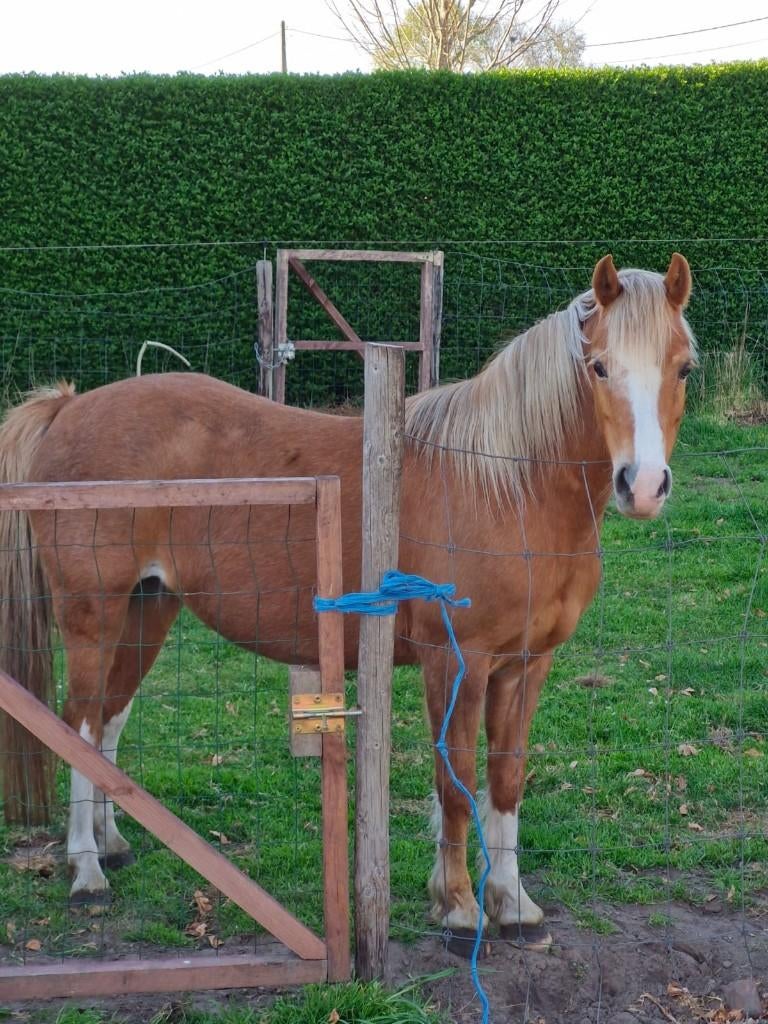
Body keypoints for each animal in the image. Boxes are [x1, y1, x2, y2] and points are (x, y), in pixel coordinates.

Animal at [0, 253, 695, 943]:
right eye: (599, 366)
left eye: (684, 366)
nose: (643, 486)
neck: (506, 486)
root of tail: (68, 409)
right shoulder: (457, 663)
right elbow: (456, 781)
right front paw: (458, 906)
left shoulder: (526, 666)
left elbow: (505, 780)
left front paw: (512, 904)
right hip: (92, 616)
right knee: (79, 721)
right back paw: (87, 871)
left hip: (148, 609)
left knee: (108, 720)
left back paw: (112, 843)